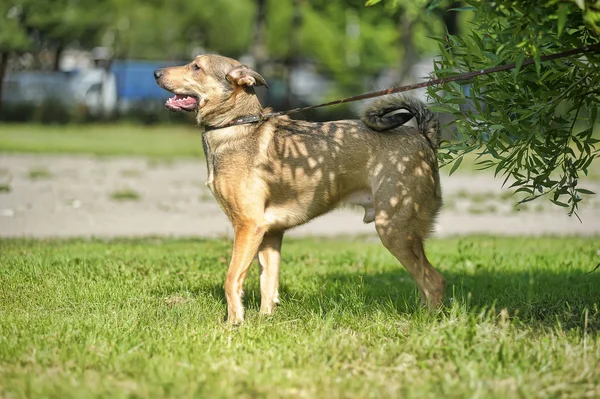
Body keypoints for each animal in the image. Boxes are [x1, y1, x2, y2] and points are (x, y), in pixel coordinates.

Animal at [154, 54, 446, 324]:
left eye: (196, 66)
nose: (156, 72)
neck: (236, 124)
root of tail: (424, 137)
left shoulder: (248, 226)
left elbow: (232, 278)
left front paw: (234, 323)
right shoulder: (269, 234)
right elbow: (268, 284)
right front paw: (264, 320)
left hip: (394, 231)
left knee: (434, 281)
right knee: (425, 283)